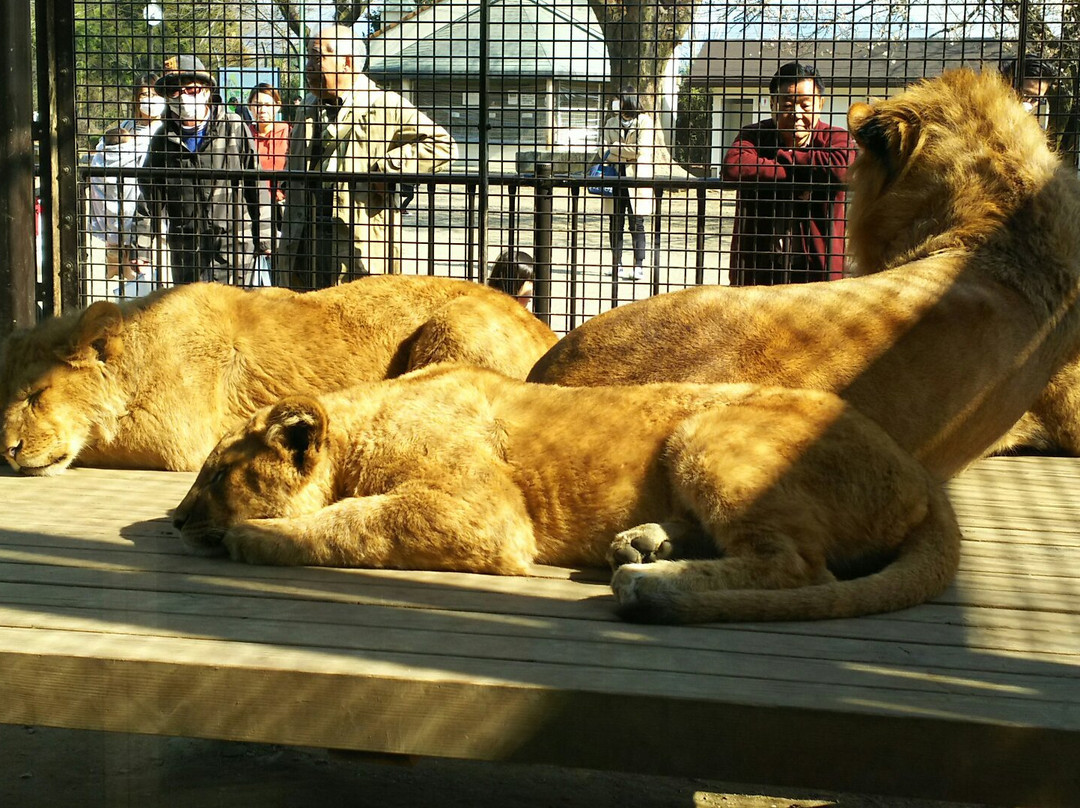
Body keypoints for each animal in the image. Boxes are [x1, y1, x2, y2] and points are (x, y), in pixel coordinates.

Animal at [177, 365, 963, 626]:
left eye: (215, 478)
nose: (178, 522)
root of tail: (921, 473)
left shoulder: (486, 515)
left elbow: (355, 518)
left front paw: (258, 536)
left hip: (710, 430)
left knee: (799, 565)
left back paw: (650, 580)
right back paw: (643, 545)